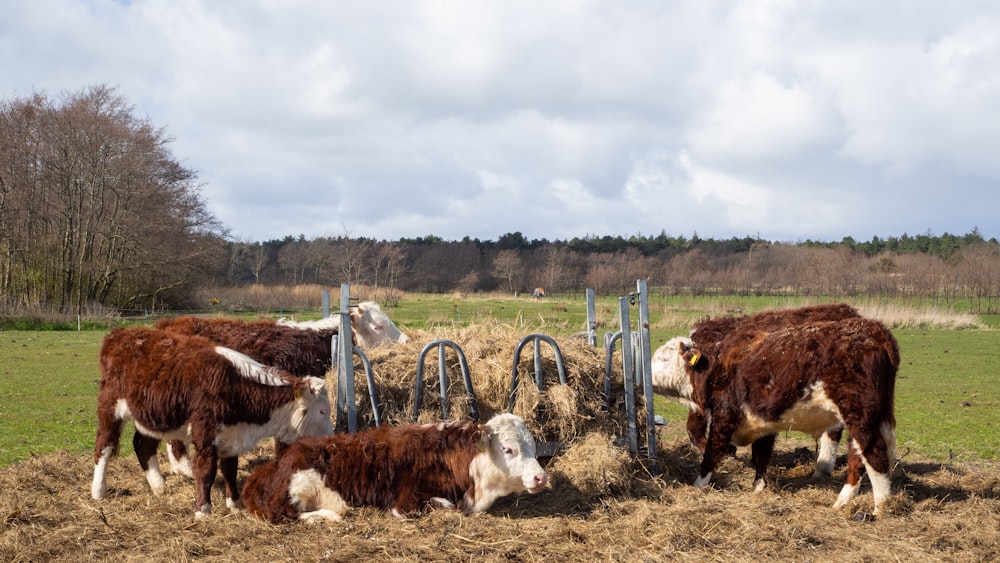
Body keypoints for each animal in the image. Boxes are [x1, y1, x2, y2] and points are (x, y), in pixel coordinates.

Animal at [91, 326, 332, 520]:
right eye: (322, 410)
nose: (331, 438)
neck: (236, 386)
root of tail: (121, 334)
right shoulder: (205, 434)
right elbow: (206, 471)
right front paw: (203, 510)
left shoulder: (231, 435)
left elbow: (230, 469)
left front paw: (234, 504)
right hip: (110, 407)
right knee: (104, 446)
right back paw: (98, 491)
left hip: (152, 415)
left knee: (143, 445)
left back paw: (159, 487)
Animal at [244, 410, 556, 524]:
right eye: (508, 449)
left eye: (532, 446)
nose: (541, 477)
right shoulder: (405, 502)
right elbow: (445, 507)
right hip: (300, 486)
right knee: (284, 514)